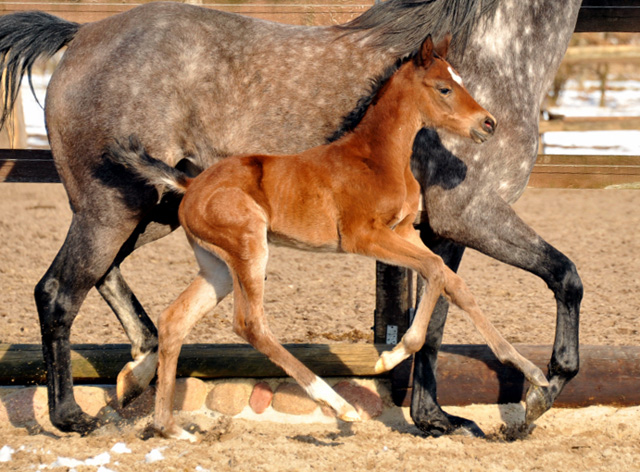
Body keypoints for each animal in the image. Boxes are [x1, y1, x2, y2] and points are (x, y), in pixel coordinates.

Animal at [107, 35, 548, 440]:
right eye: (444, 87)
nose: (488, 124)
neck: (378, 158)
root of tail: (191, 183)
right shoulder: (364, 237)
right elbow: (436, 271)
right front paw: (391, 357)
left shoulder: (405, 232)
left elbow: (455, 283)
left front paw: (534, 376)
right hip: (250, 246)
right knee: (250, 324)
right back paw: (339, 405)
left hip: (217, 266)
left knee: (174, 320)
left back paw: (167, 427)